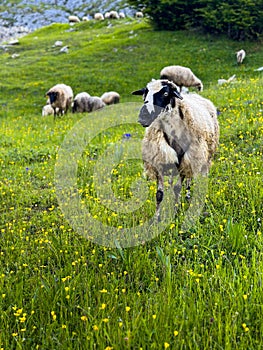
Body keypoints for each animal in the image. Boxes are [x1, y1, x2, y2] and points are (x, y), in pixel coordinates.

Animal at [133, 80, 220, 220]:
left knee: (189, 180)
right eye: (145, 93)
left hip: (197, 157)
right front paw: (156, 219)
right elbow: (159, 194)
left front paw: (176, 211)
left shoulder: (184, 161)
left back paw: (188, 199)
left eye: (165, 93)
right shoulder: (160, 162)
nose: (143, 117)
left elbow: (178, 188)